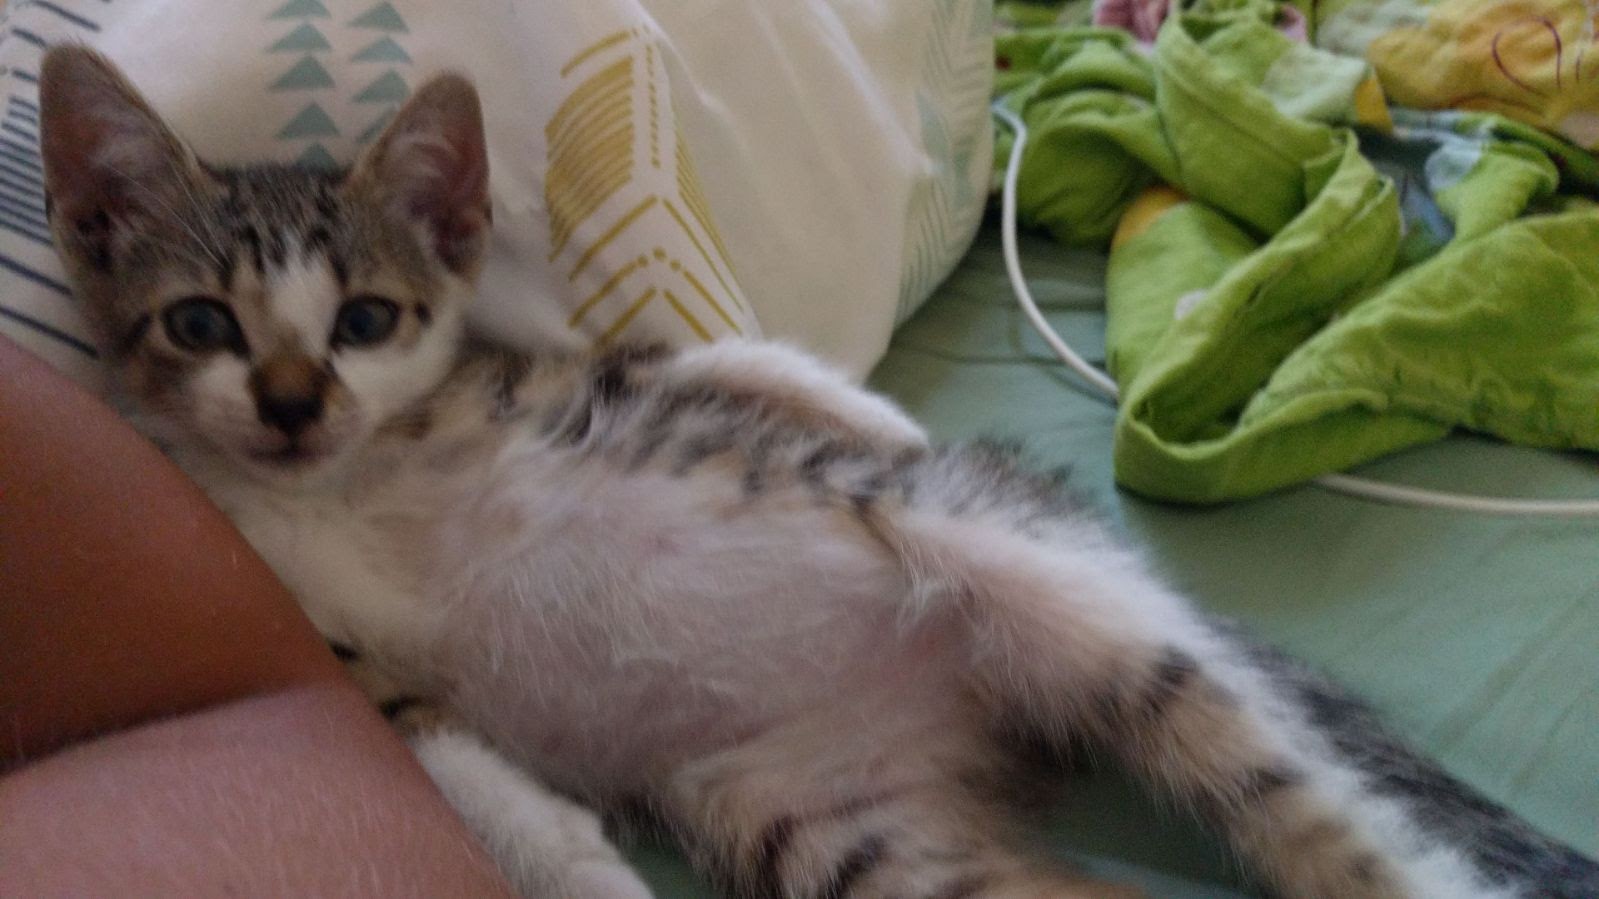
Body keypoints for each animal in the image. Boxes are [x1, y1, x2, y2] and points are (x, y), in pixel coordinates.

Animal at [38, 45, 1599, 899]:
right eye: (201, 324)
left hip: (1060, 602)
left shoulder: (552, 382)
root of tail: (972, 715)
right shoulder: (319, 639)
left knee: (1337, 824)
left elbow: (689, 355)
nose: (292, 403)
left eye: (364, 318)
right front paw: (578, 861)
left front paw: (871, 410)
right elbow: (445, 758)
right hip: (845, 827)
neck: (336, 488)